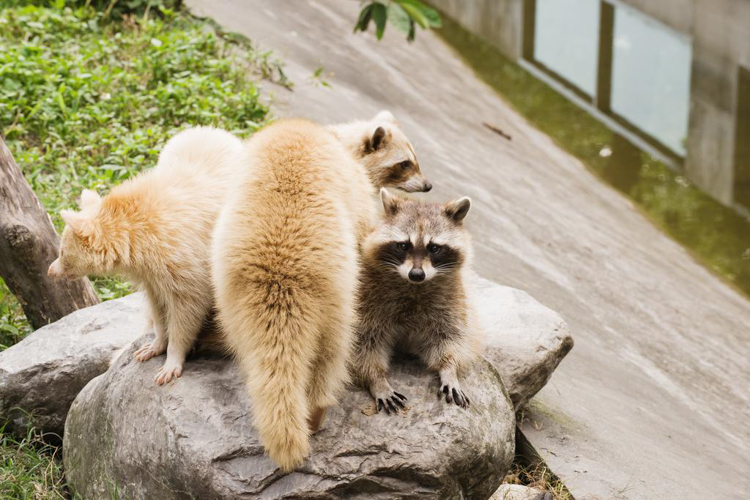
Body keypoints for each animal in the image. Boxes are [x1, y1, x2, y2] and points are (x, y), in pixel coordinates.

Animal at [48, 127, 242, 384]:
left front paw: (172, 361)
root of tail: (210, 129)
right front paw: (155, 344)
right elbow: (156, 304)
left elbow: (187, 307)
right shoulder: (150, 271)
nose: (50, 270)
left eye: (61, 251)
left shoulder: (185, 255)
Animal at [352, 189, 482, 412]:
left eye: (434, 248)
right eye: (403, 245)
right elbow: (364, 343)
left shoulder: (452, 299)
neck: (413, 286)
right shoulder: (368, 297)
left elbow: (449, 338)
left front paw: (449, 369)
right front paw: (377, 380)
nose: (417, 274)